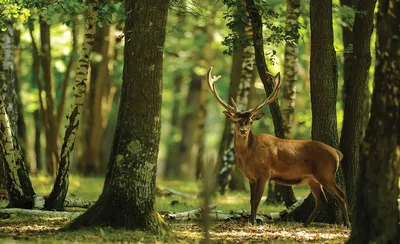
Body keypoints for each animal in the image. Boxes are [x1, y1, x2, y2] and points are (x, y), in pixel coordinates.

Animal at [208, 66, 348, 227]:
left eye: (251, 121)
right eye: (236, 120)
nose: (243, 131)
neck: (248, 155)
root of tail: (337, 152)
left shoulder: (264, 173)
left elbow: (256, 200)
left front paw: (254, 222)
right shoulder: (250, 177)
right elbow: (251, 200)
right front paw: (251, 221)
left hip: (326, 173)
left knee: (341, 195)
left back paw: (347, 224)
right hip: (313, 178)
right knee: (322, 200)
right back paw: (306, 223)